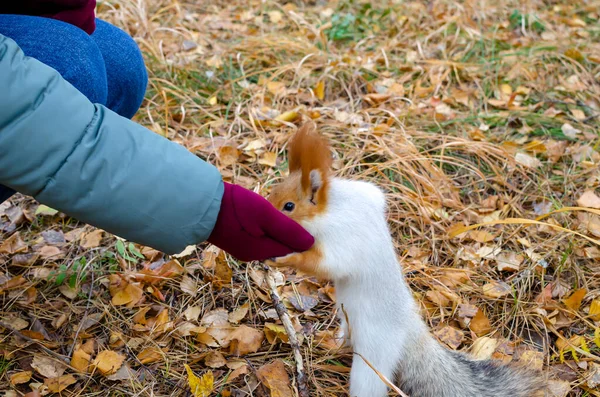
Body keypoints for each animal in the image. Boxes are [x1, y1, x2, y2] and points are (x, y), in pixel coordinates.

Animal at [264, 122, 548, 394]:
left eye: (289, 206)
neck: (333, 206)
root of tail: (412, 331)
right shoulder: (365, 193)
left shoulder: (346, 236)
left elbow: (332, 263)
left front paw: (284, 258)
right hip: (348, 323)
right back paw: (331, 344)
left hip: (375, 354)